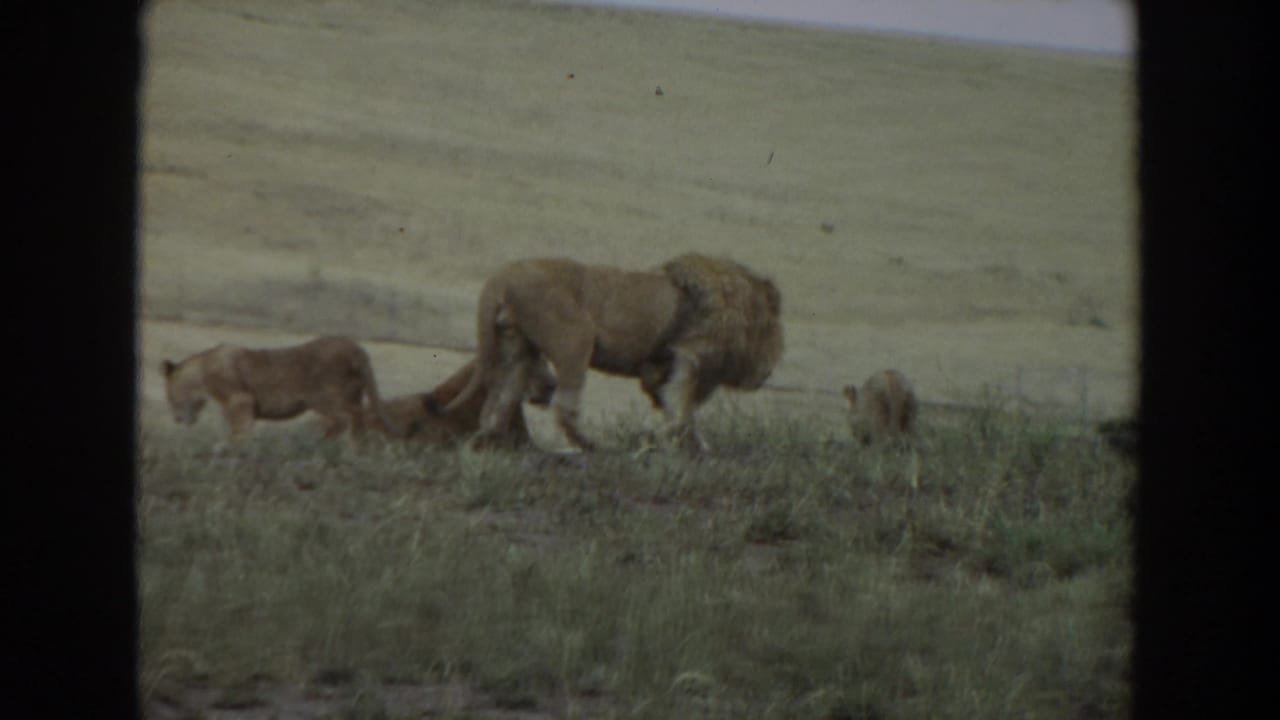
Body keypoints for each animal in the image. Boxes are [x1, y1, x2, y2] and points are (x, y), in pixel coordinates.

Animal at [160, 336, 401, 440]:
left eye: (170, 397)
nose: (177, 419)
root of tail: (356, 347)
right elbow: (231, 430)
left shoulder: (241, 400)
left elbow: (238, 432)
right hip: (353, 394)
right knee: (358, 419)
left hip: (322, 397)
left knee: (344, 419)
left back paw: (320, 444)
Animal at [431, 253, 784, 452]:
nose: (768, 374)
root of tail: (503, 276)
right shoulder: (691, 357)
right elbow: (681, 405)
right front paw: (693, 444)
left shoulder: (664, 367)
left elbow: (672, 405)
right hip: (575, 342)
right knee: (564, 407)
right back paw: (592, 446)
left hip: (515, 349)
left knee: (499, 402)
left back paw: (490, 442)